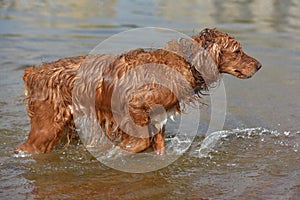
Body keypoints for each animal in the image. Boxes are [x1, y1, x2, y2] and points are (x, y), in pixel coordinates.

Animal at [15, 28, 262, 155]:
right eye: (238, 51)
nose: (259, 65)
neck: (185, 62)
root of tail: (33, 71)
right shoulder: (134, 106)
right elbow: (141, 141)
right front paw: (123, 150)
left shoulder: (159, 118)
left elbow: (158, 146)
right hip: (46, 127)